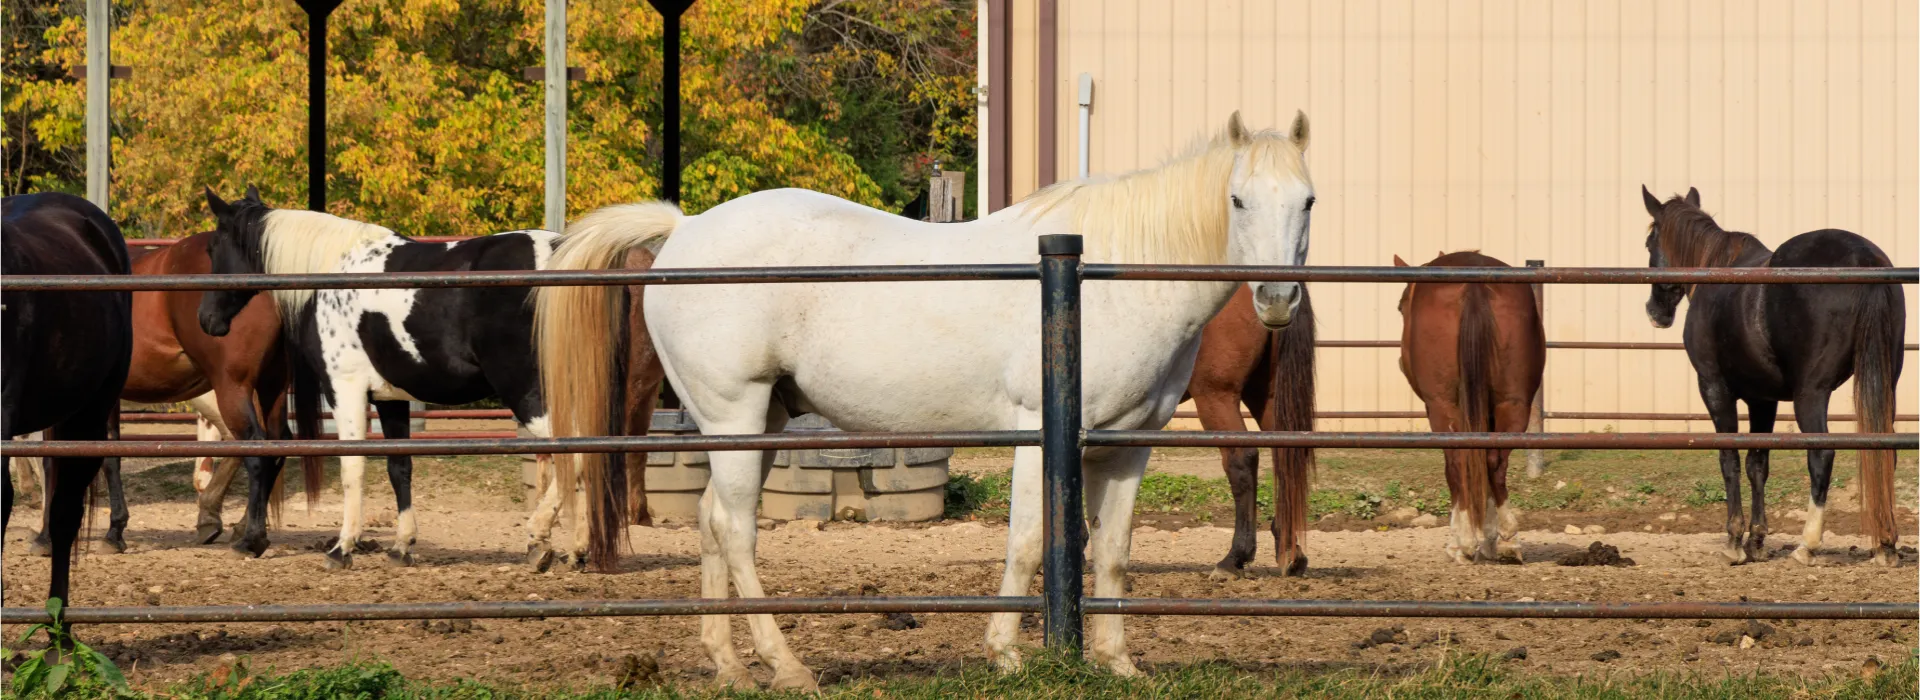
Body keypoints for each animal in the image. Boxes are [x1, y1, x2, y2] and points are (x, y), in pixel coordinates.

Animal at [194, 187, 575, 570]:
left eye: (213, 248)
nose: (206, 319)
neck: (332, 274)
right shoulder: (391, 398)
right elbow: (399, 466)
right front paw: (401, 546)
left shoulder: (344, 389)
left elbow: (353, 467)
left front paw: (342, 548)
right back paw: (577, 551)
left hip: (528, 393)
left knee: (572, 453)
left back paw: (539, 538)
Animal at [1185, 285, 1317, 578]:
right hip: (1267, 394)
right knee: (1286, 457)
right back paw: (1291, 553)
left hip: (1216, 396)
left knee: (1241, 460)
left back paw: (1233, 559)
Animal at [1392, 251, 1543, 564]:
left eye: (1401, 307)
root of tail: (1474, 284)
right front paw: (1490, 538)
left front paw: (1463, 541)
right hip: (1513, 402)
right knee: (1495, 464)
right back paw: (1508, 539)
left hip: (1443, 407)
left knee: (1458, 463)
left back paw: (1462, 543)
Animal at [1640, 186, 1904, 567]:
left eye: (1650, 242)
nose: (1655, 312)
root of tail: (1863, 260)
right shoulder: (1762, 399)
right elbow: (1757, 464)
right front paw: (1757, 540)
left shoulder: (1715, 388)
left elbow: (1730, 460)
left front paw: (1735, 541)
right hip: (1886, 384)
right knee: (1886, 450)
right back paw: (1885, 544)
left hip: (1811, 393)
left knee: (1821, 455)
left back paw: (1807, 545)